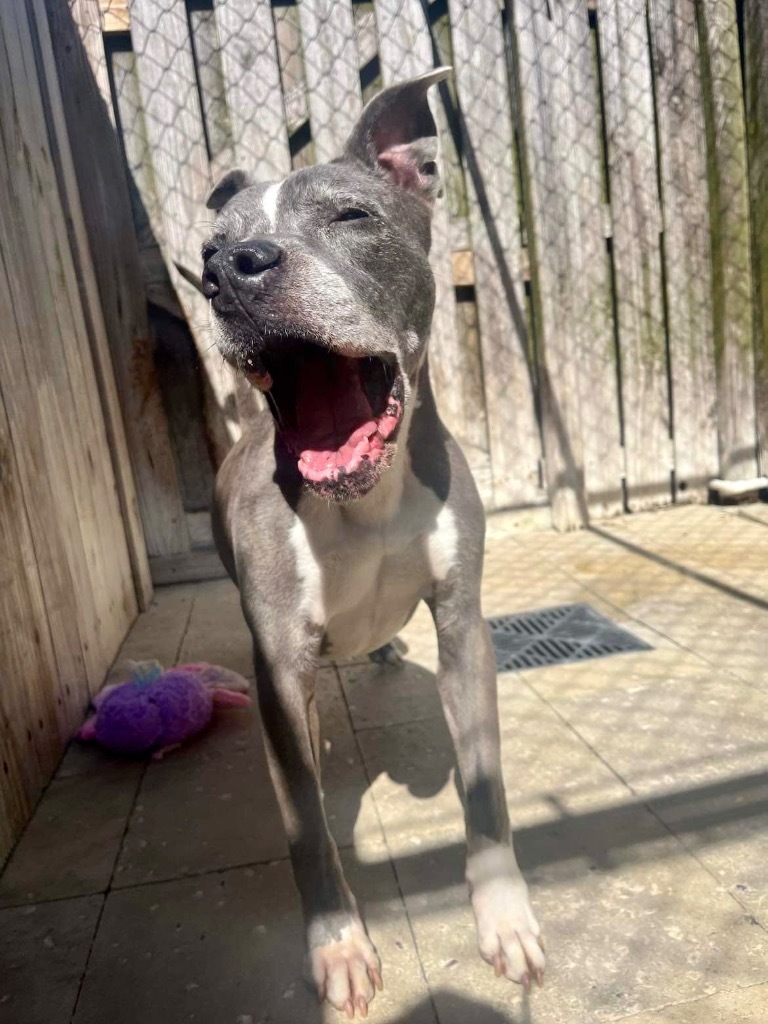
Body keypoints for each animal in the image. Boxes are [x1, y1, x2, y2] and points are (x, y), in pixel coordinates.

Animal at [201, 68, 544, 1019]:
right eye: (211, 249)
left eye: (351, 216)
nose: (231, 271)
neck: (365, 499)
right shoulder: (280, 664)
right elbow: (308, 828)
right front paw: (339, 945)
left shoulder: (463, 624)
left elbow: (484, 787)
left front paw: (505, 916)